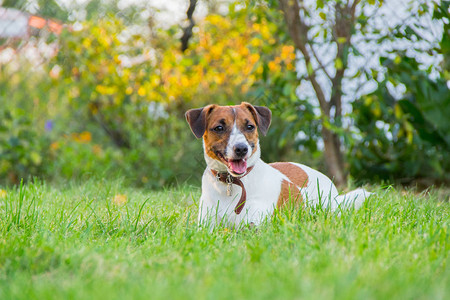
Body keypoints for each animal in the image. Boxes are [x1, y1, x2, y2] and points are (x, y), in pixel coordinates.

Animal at [185, 102, 370, 227]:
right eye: (219, 128)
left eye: (250, 126)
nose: (241, 149)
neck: (232, 183)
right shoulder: (205, 226)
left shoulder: (254, 224)